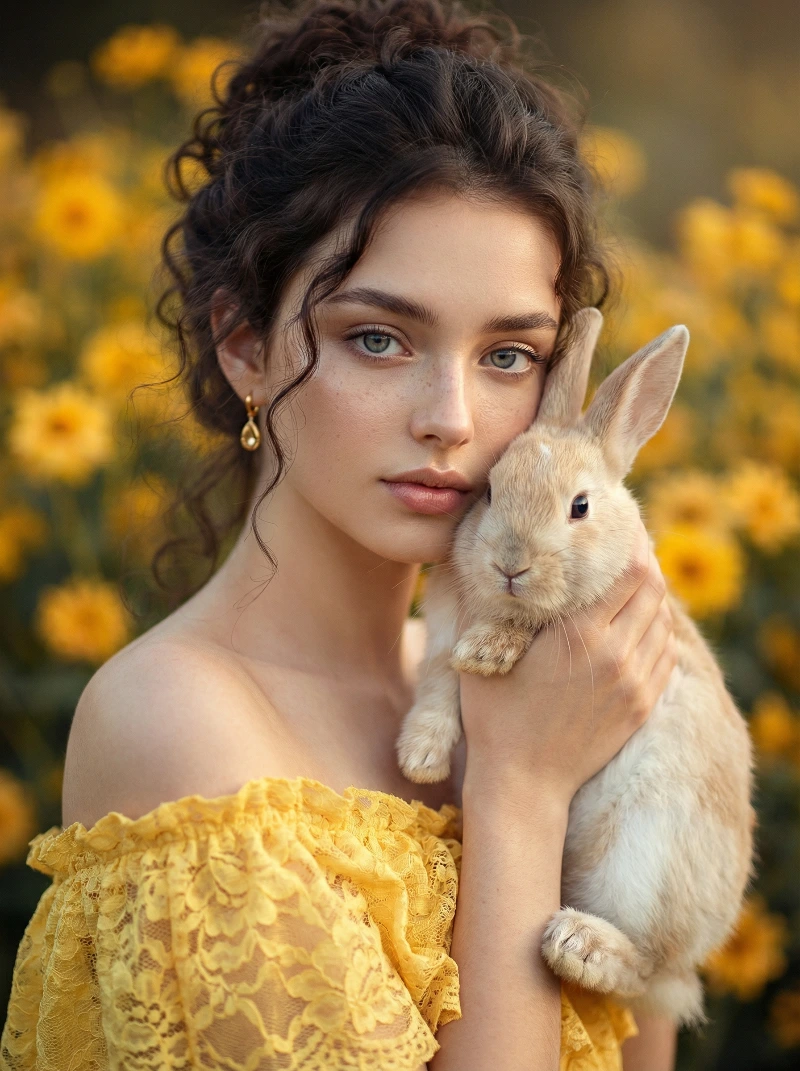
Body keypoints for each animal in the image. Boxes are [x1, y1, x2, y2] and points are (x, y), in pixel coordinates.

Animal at [396, 307, 756, 1027]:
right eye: (488, 492)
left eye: (580, 506)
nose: (510, 563)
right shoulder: (442, 632)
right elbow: (437, 688)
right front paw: (419, 758)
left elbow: (512, 631)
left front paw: (488, 649)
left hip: (647, 864)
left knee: (644, 968)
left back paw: (579, 944)